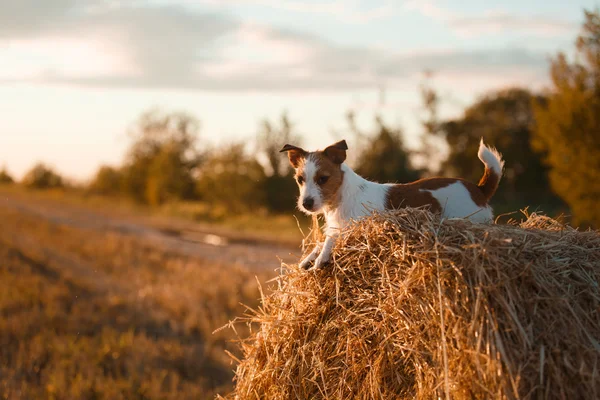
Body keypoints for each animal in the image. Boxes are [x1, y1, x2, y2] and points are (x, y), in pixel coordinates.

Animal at [278, 139, 504, 270]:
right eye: (300, 180)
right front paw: (310, 257)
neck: (342, 197)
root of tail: (479, 189)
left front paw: (322, 256)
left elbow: (331, 240)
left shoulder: (359, 228)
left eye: (323, 179)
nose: (306, 203)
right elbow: (322, 241)